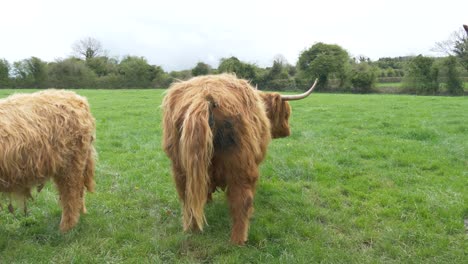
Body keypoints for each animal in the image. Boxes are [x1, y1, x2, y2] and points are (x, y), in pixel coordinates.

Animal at [162, 73, 318, 244]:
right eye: (286, 114)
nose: (288, 132)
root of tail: (203, 98)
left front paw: (208, 203)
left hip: (180, 167)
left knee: (186, 196)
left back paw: (192, 229)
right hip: (241, 165)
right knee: (242, 199)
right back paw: (239, 240)